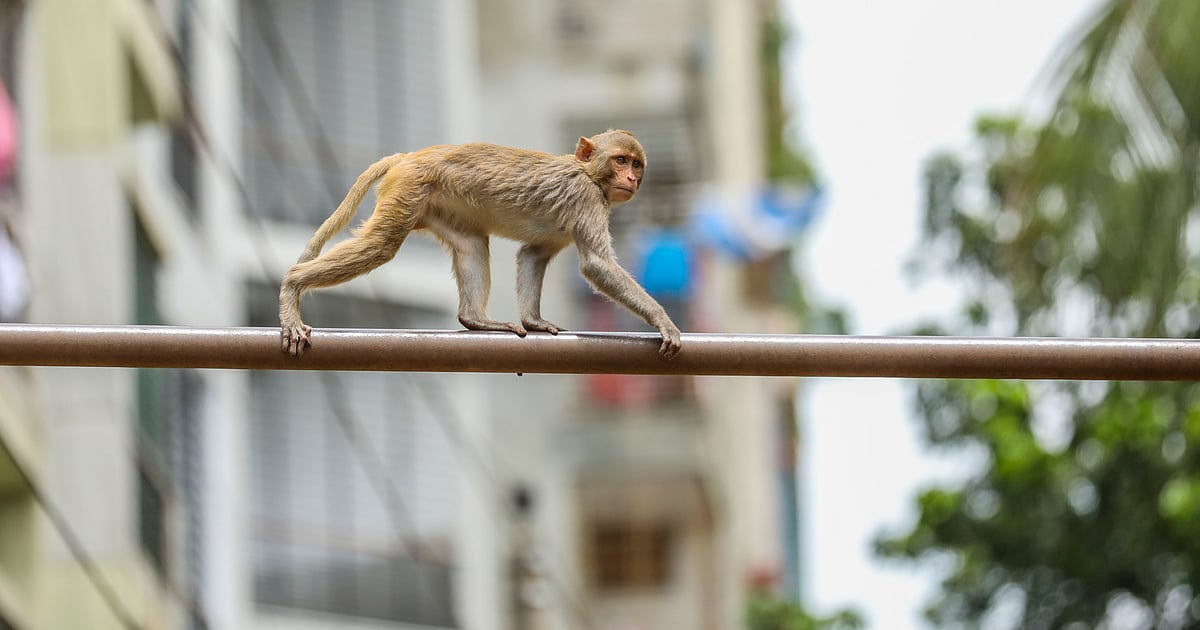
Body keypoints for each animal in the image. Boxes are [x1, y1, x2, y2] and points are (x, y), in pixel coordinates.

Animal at [278, 129, 683, 359]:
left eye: (636, 164)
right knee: (381, 245)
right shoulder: (586, 199)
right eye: (620, 160)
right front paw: (664, 321)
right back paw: (293, 283)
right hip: (410, 189)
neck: (588, 174)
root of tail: (410, 157)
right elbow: (596, 265)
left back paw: (476, 319)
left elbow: (532, 254)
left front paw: (534, 322)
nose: (631, 178)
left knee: (471, 245)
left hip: (438, 206)